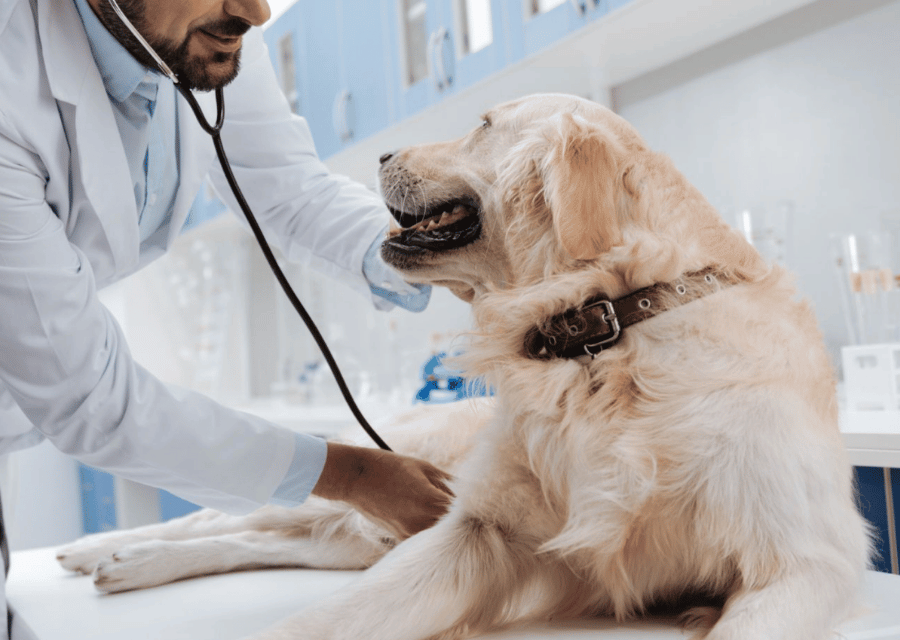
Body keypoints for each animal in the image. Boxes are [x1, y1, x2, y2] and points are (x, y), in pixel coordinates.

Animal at [58, 95, 872, 640]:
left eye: (481, 124)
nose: (380, 155)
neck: (605, 329)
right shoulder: (475, 531)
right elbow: (324, 622)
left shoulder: (802, 564)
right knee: (225, 513)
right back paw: (104, 552)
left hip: (354, 536)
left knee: (261, 539)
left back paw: (123, 562)